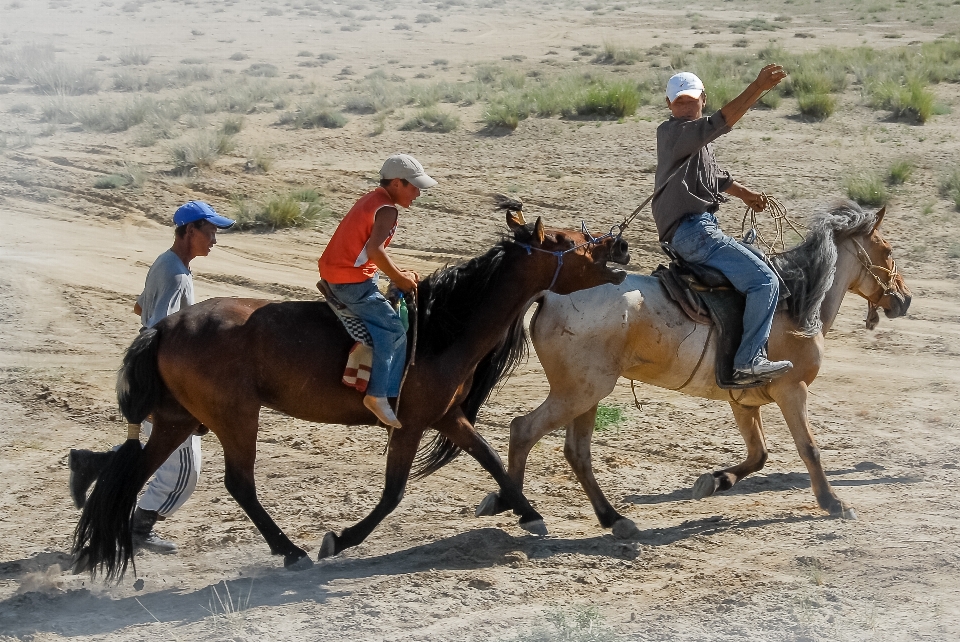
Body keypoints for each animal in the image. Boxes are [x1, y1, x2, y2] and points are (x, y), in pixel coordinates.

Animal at [75, 211, 632, 580]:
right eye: (568, 240)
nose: (620, 247)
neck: (441, 327)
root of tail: (164, 326)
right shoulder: (409, 424)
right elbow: (392, 495)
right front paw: (339, 539)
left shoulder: (448, 417)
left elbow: (491, 457)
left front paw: (528, 512)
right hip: (234, 417)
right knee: (239, 484)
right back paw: (290, 550)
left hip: (179, 420)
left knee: (132, 472)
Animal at [476, 200, 912, 536]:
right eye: (888, 250)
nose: (904, 299)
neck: (795, 303)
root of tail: (551, 294)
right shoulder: (792, 391)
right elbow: (809, 448)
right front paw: (833, 502)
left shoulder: (743, 400)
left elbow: (759, 454)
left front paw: (714, 481)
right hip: (579, 392)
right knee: (524, 430)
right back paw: (523, 510)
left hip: (586, 394)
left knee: (577, 452)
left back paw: (611, 518)